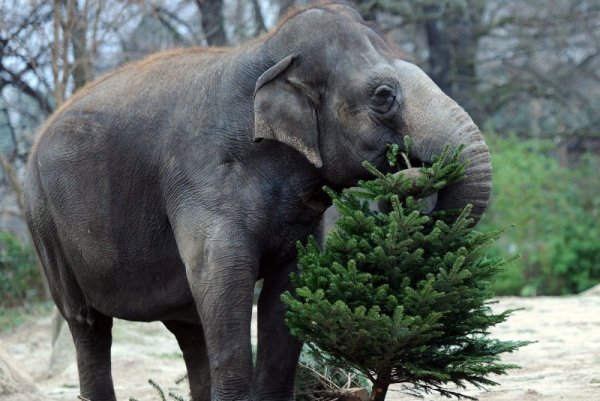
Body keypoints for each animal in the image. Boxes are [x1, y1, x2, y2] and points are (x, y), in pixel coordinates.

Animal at [23, 3, 492, 400]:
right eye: (382, 96)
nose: (407, 174)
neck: (266, 53)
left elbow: (286, 293)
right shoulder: (203, 182)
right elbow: (222, 286)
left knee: (188, 326)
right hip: (44, 221)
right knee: (87, 323)